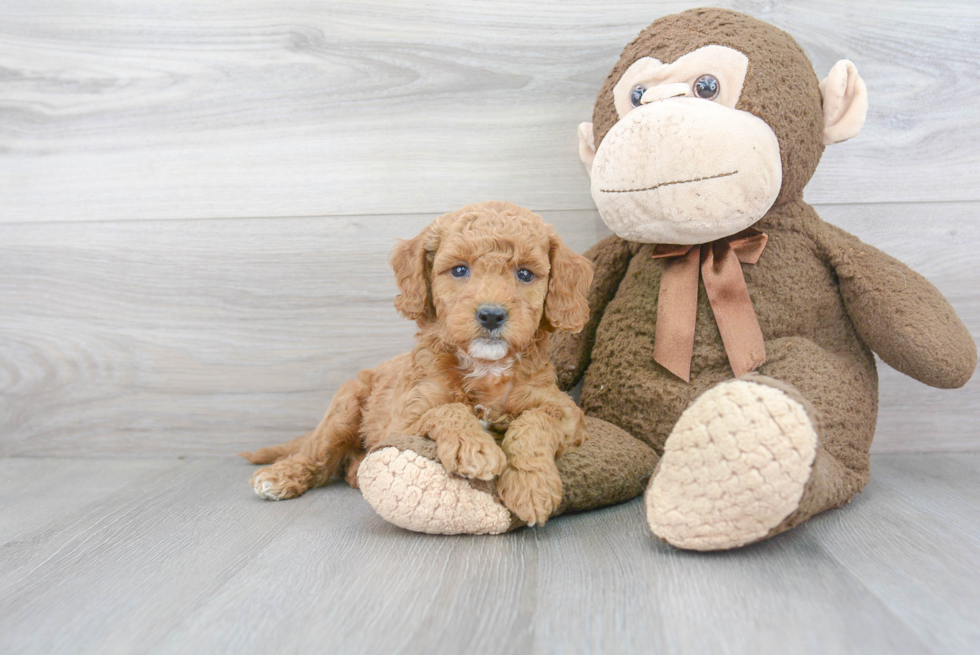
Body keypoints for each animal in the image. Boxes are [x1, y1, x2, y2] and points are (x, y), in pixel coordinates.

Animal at [241, 201, 592, 528]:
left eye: (525, 274)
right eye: (460, 270)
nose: (491, 315)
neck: (484, 367)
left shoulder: (564, 411)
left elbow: (534, 422)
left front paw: (531, 485)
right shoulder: (405, 418)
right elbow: (445, 409)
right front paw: (473, 447)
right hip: (344, 407)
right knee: (317, 455)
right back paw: (280, 476)